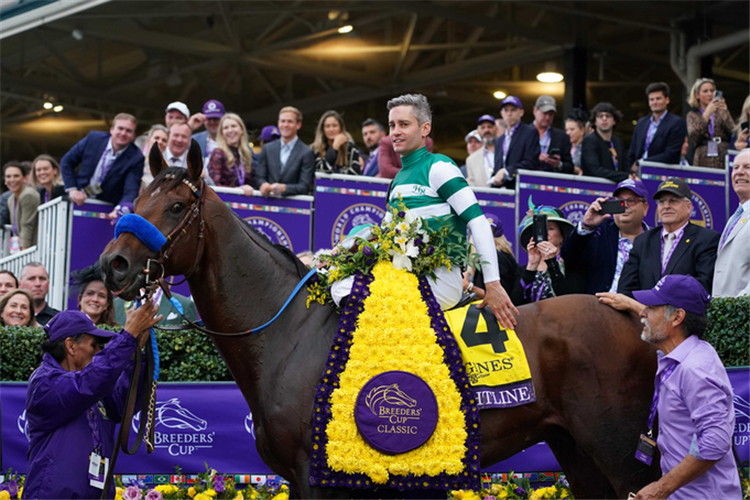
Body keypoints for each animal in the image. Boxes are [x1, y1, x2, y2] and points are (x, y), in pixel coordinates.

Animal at [100, 142, 656, 500]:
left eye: (176, 206)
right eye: (137, 201)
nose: (114, 264)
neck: (287, 335)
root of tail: (633, 316)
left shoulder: (315, 478)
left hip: (615, 448)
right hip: (574, 448)